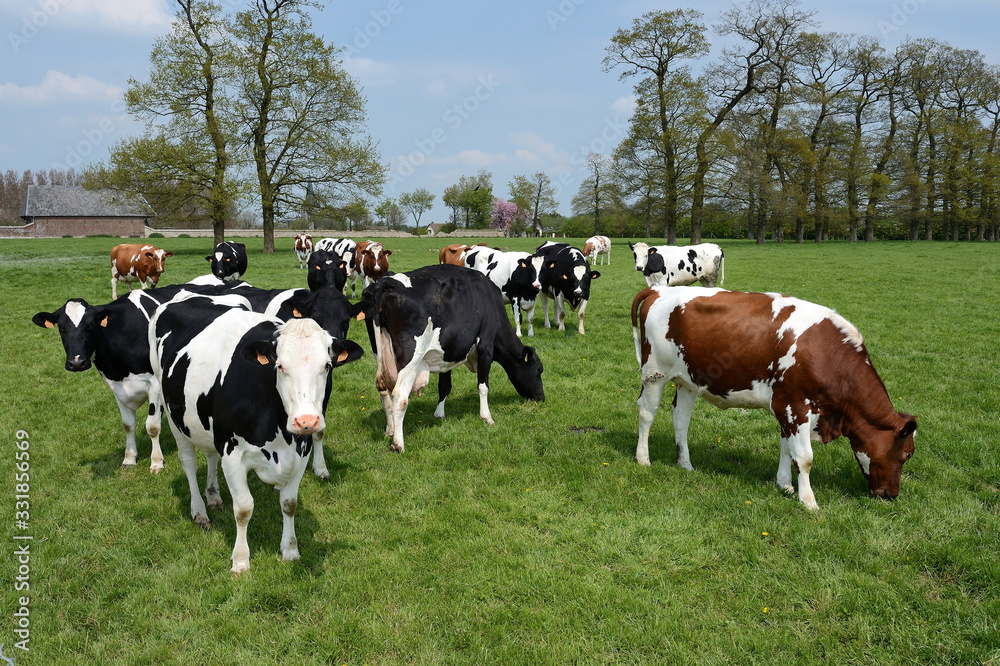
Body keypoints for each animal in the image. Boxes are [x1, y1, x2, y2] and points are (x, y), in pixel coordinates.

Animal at [148, 296, 364, 572]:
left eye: (326, 365)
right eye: (280, 366)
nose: (307, 421)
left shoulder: (301, 453)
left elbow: (289, 504)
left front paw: (290, 549)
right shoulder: (232, 453)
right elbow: (243, 508)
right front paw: (240, 561)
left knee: (210, 454)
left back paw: (213, 496)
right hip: (173, 413)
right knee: (188, 462)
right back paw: (199, 511)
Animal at [368, 264, 544, 452]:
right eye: (538, 371)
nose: (541, 398)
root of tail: (388, 282)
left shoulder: (447, 352)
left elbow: (444, 386)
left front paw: (439, 414)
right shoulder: (486, 346)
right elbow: (483, 386)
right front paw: (487, 417)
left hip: (380, 356)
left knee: (383, 389)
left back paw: (390, 431)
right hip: (410, 359)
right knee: (400, 396)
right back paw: (398, 444)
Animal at [632, 286, 916, 508]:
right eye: (907, 455)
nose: (891, 495)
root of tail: (659, 289)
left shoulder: (786, 406)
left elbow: (787, 448)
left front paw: (785, 485)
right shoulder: (795, 407)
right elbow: (804, 457)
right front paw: (809, 501)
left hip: (688, 381)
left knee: (681, 419)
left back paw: (685, 464)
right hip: (654, 373)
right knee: (646, 413)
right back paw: (643, 459)